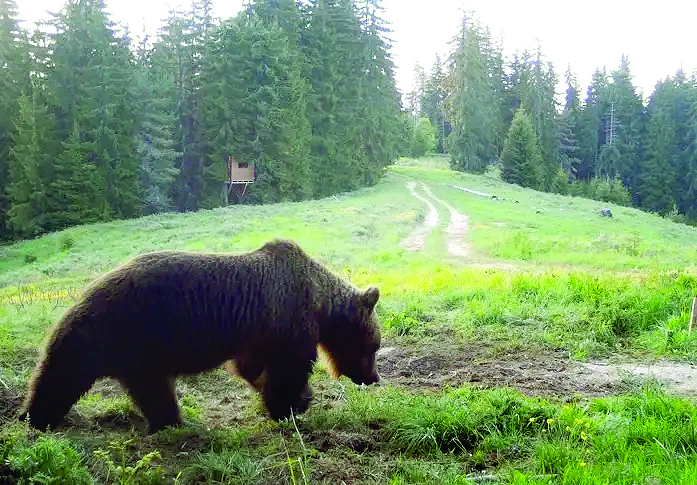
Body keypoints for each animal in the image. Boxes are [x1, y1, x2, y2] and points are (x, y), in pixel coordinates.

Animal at [20, 238, 380, 432]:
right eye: (374, 346)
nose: (374, 378)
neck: (321, 303)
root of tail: (86, 292)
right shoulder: (288, 322)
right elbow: (287, 371)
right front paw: (293, 404)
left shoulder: (257, 334)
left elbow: (251, 366)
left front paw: (286, 398)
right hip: (128, 331)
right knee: (68, 374)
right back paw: (37, 417)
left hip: (134, 350)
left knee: (146, 389)